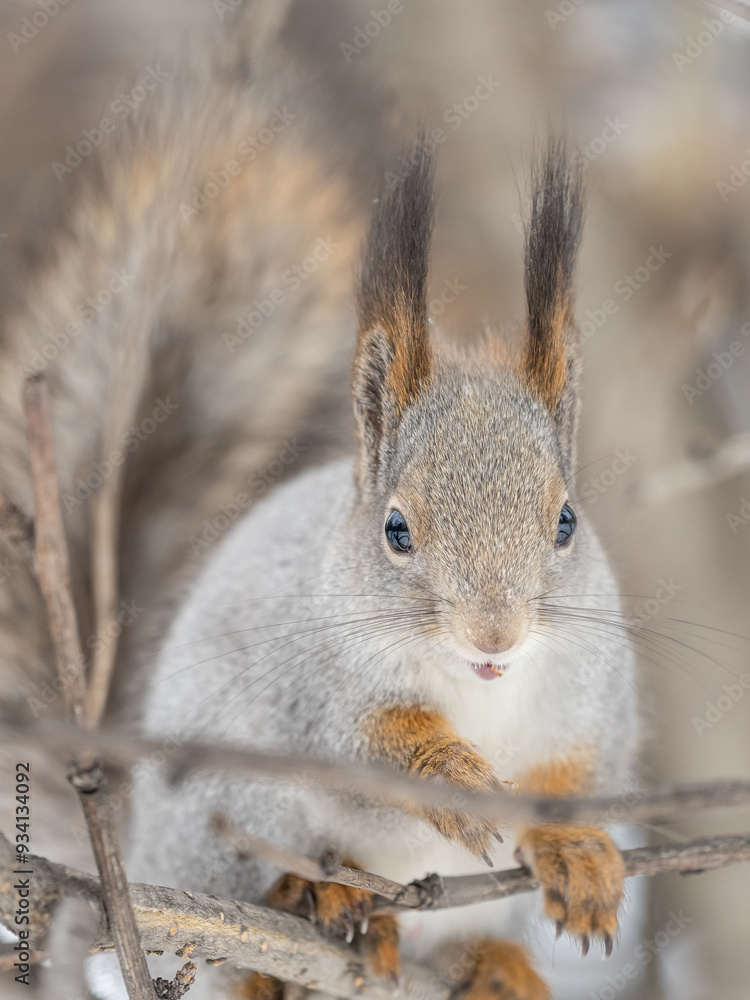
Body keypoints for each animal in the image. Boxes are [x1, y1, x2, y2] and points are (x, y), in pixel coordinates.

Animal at [0, 7, 638, 1000]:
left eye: (566, 521)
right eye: (396, 531)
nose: (495, 637)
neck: (479, 692)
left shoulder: (588, 695)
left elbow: (574, 775)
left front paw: (576, 852)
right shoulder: (318, 693)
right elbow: (370, 752)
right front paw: (450, 773)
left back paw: (489, 964)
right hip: (221, 816)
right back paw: (317, 901)